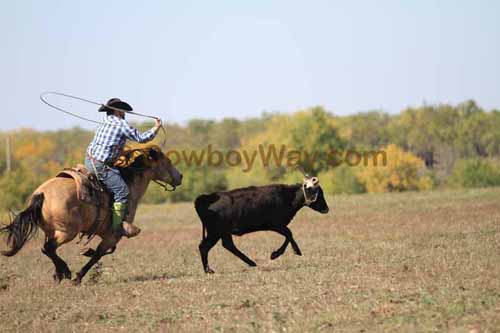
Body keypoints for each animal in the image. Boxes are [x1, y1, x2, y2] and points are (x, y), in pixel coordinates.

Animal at [0, 144, 182, 284]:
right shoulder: (112, 236)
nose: (180, 176)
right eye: (168, 161)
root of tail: (42, 193)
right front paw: (78, 277)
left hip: (51, 231)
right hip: (67, 232)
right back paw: (66, 271)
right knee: (49, 248)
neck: (130, 183)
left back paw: (59, 273)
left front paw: (84, 255)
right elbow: (98, 255)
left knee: (47, 249)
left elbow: (99, 253)